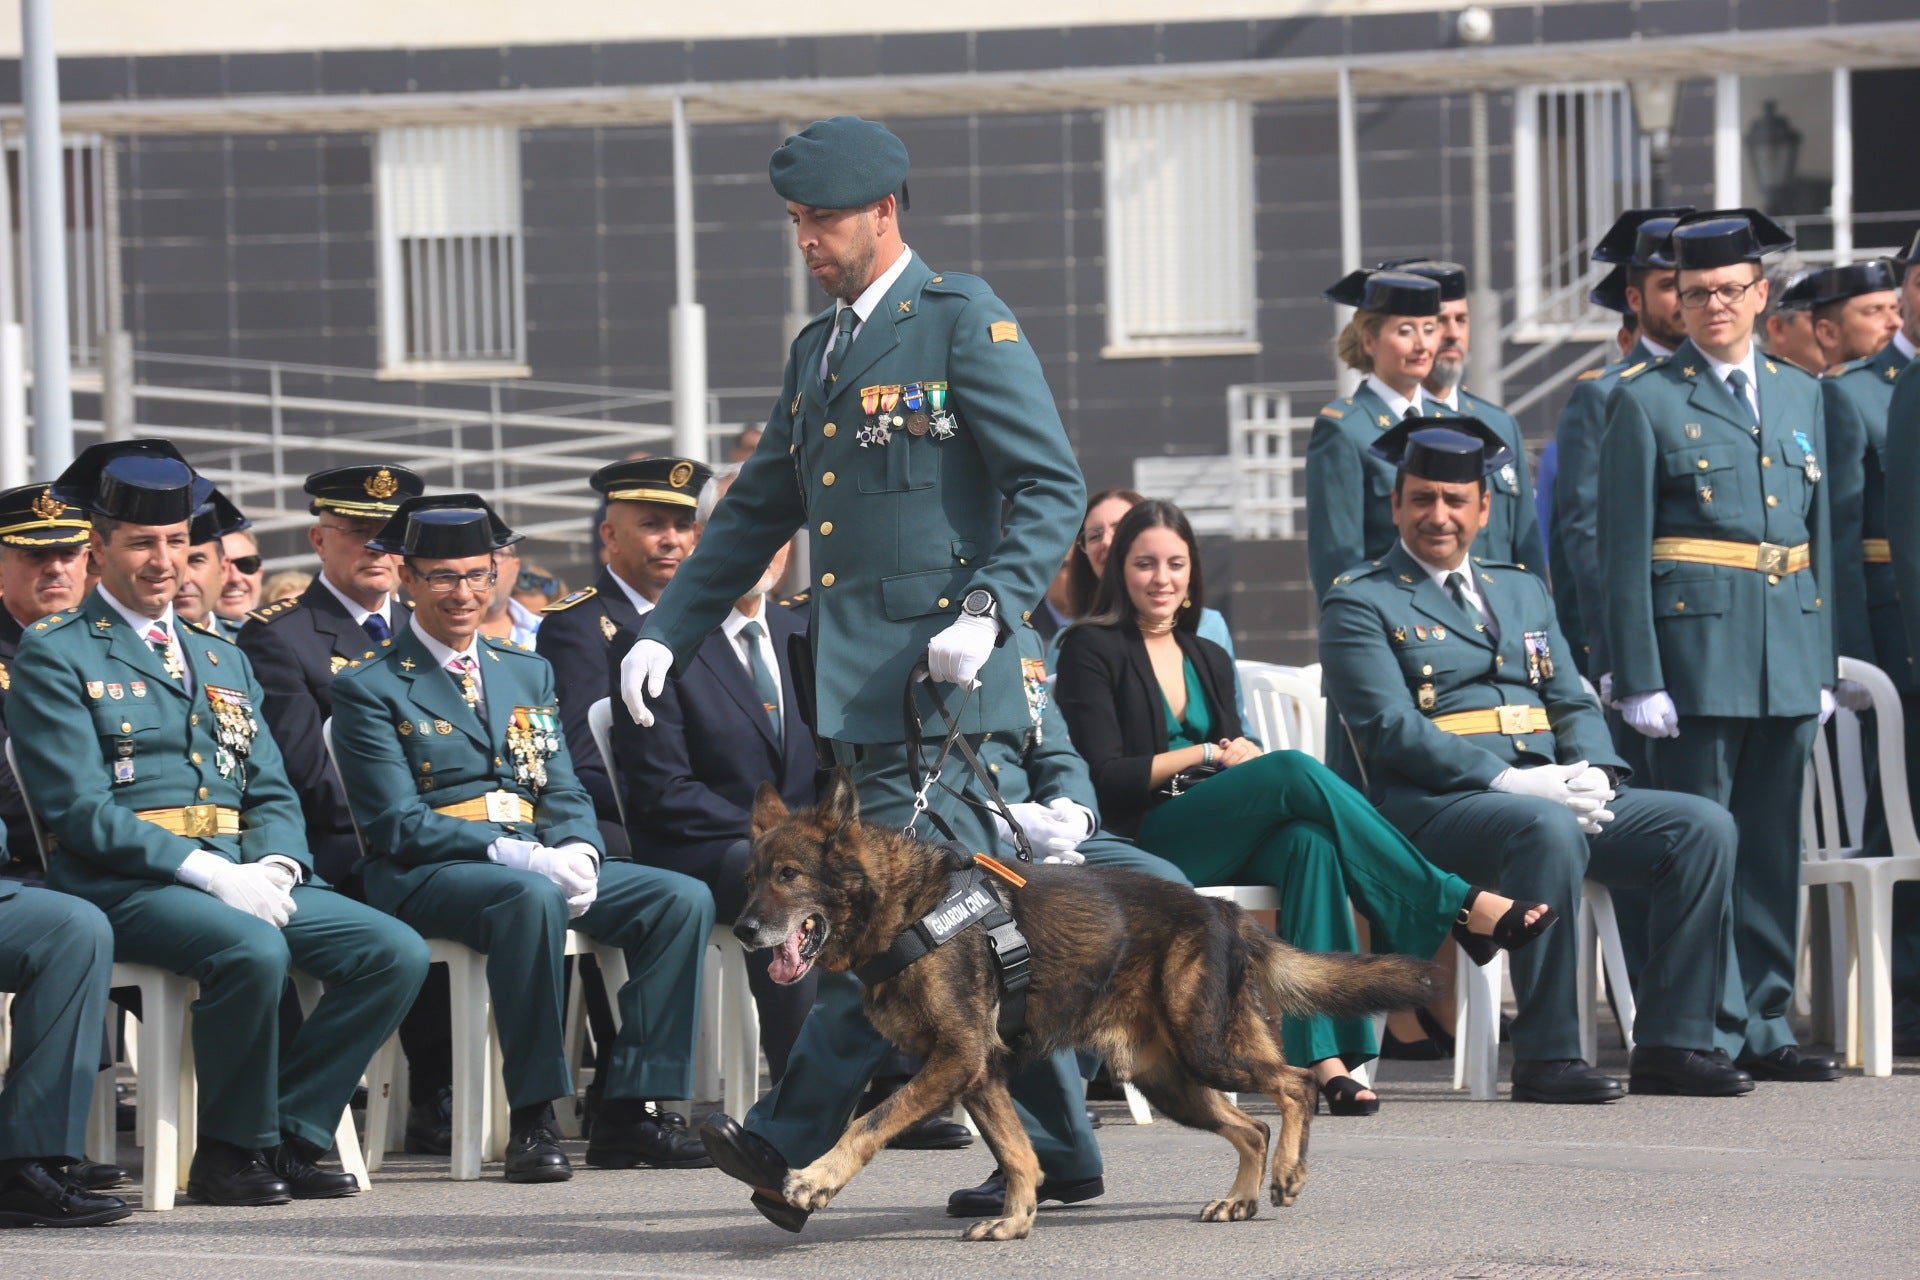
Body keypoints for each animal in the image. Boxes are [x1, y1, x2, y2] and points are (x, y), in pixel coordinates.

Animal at [733, 771, 1443, 1243]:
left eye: (789, 876)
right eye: (752, 879)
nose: (742, 930)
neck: (906, 908)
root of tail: (1224, 910)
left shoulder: (954, 1061)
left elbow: (866, 1122)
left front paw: (813, 1179)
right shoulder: (977, 1073)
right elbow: (1019, 1154)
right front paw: (1016, 1220)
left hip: (1206, 1053)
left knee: (1295, 1086)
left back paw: (1288, 1173)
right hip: (1167, 1080)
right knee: (1252, 1128)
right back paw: (1238, 1199)